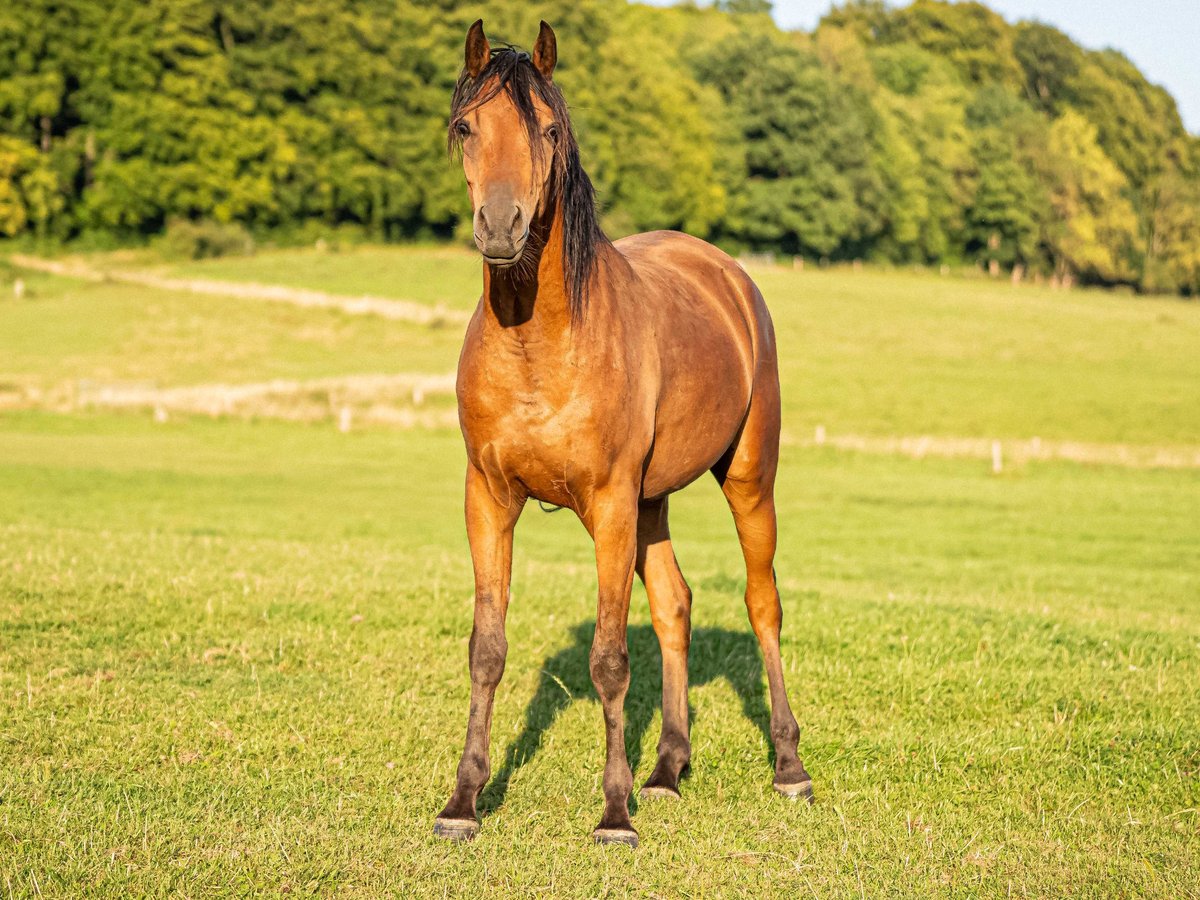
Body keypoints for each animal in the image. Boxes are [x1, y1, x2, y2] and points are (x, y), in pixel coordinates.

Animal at [434, 20, 812, 848]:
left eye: (549, 130)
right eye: (467, 127)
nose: (502, 227)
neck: (539, 344)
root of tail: (726, 272)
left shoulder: (606, 503)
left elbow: (609, 658)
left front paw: (612, 815)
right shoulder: (488, 499)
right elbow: (487, 649)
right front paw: (464, 801)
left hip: (745, 480)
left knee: (761, 603)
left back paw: (788, 766)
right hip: (650, 503)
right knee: (675, 605)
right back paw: (667, 768)